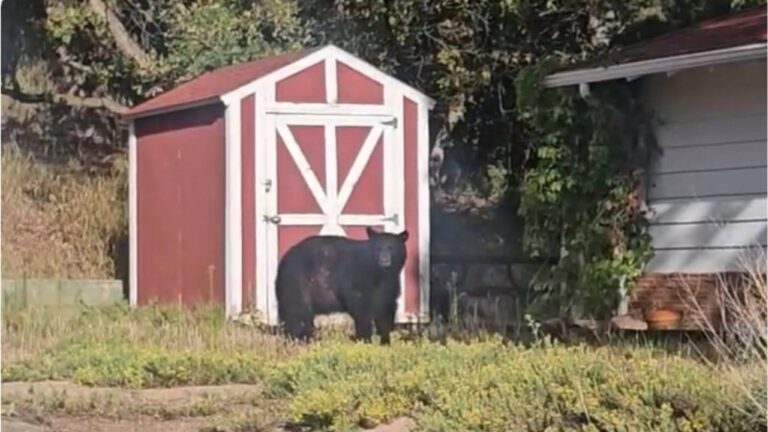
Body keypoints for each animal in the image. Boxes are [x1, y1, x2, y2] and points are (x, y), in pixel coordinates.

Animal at [274, 226, 409, 345]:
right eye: (378, 248)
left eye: (391, 247)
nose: (384, 260)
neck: (380, 274)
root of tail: (283, 260)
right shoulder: (358, 281)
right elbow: (362, 310)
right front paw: (365, 340)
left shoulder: (390, 285)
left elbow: (385, 312)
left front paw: (385, 342)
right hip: (298, 284)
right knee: (297, 316)